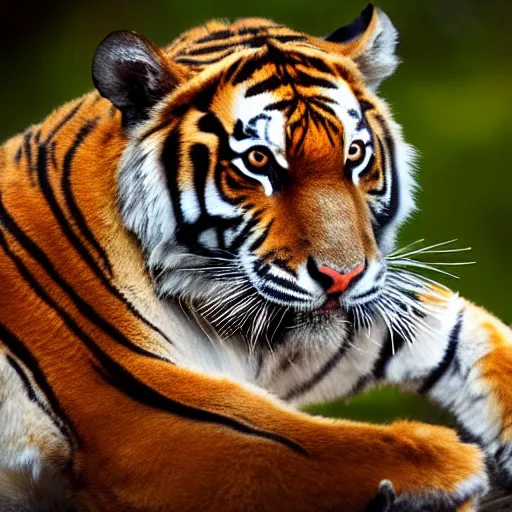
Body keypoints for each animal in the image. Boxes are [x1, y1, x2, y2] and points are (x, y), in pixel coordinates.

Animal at [1, 3, 512, 508]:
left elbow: (477, 334)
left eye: (354, 154)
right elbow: (302, 443)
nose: (342, 276)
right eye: (260, 161)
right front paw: (443, 459)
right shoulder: (138, 412)